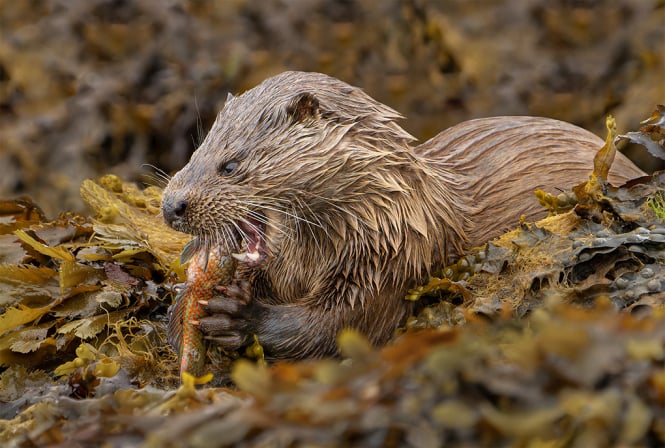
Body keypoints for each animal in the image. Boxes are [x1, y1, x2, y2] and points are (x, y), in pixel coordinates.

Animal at [162, 71, 644, 360]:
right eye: (196, 151)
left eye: (230, 165)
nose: (171, 205)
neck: (388, 214)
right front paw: (186, 303)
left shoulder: (389, 263)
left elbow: (335, 328)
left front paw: (238, 316)